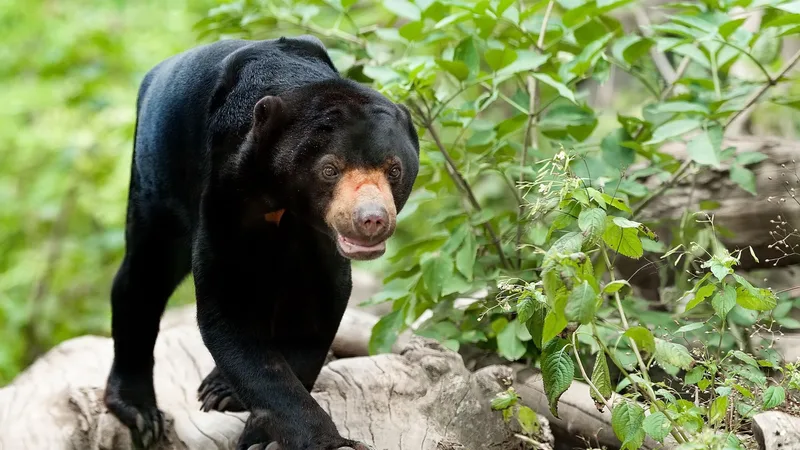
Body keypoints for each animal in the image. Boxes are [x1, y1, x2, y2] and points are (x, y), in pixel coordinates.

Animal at [103, 34, 419, 450]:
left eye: (393, 170)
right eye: (329, 169)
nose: (371, 219)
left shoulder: (319, 236)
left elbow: (317, 307)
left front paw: (259, 430)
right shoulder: (226, 188)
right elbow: (227, 308)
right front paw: (318, 439)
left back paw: (220, 389)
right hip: (154, 174)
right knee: (144, 275)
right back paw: (138, 410)